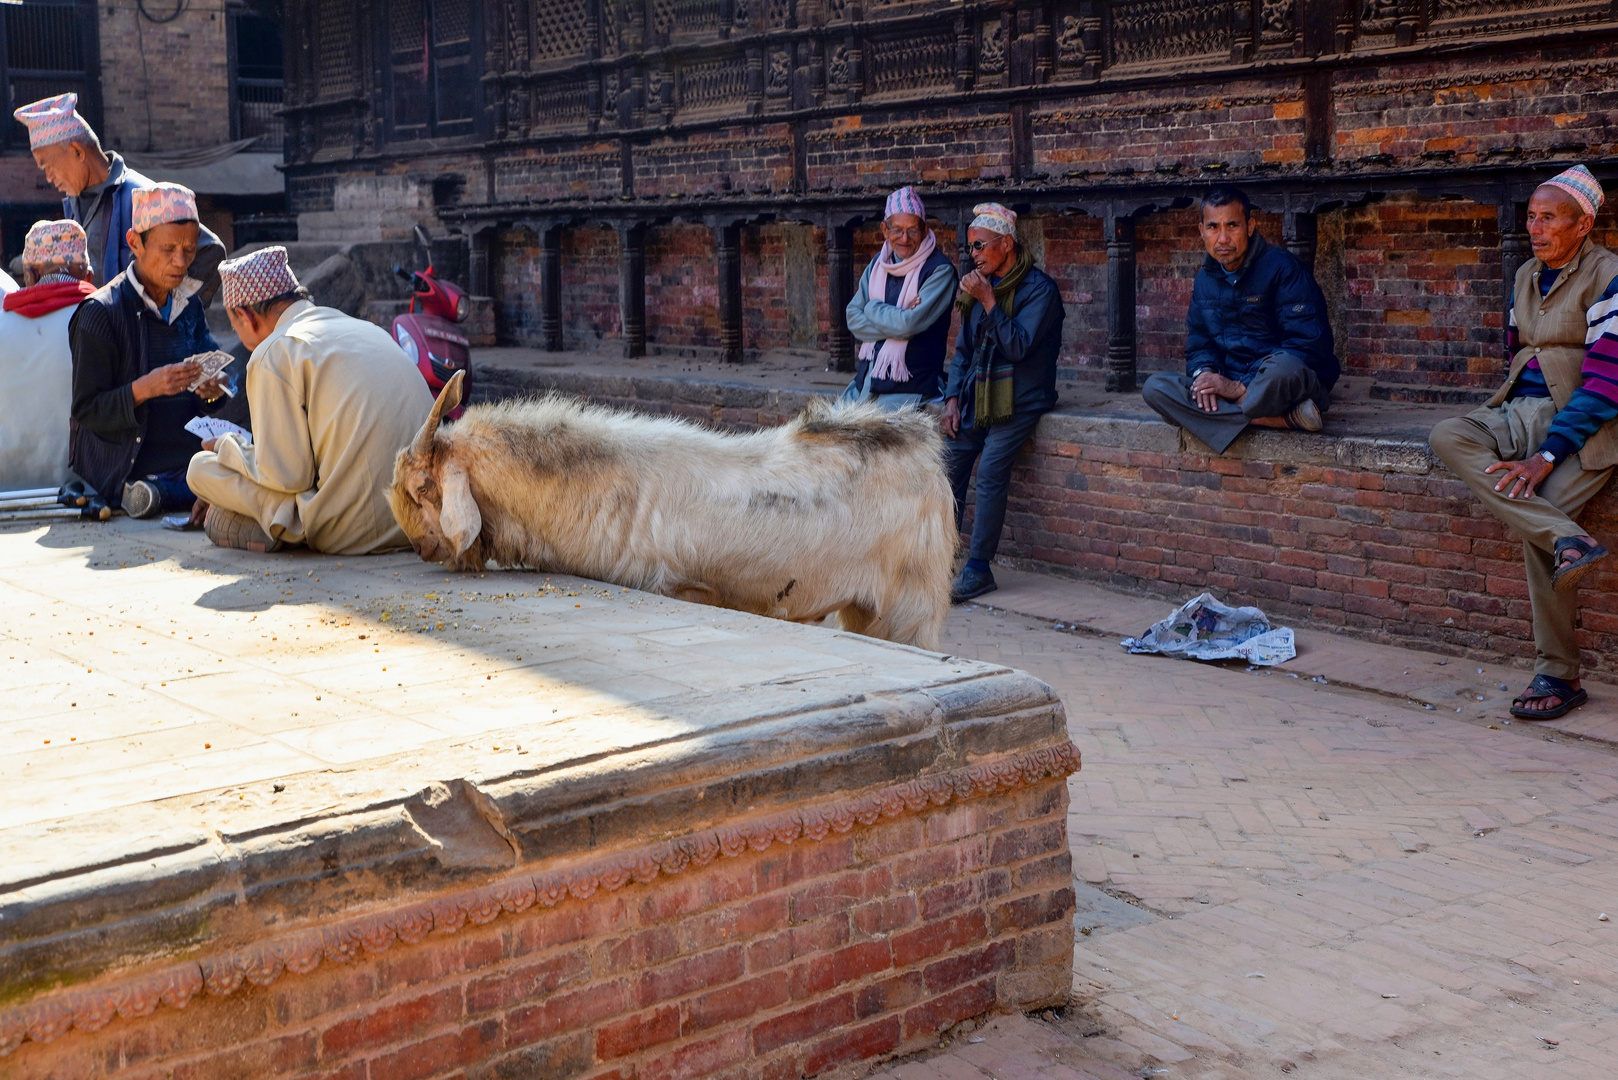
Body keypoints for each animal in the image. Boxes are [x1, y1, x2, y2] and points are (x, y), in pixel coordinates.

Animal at [385, 372, 951, 650]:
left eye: (422, 486)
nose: (419, 548)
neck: (604, 488)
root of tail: (922, 442)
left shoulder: (675, 586)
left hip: (912, 606)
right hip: (861, 607)